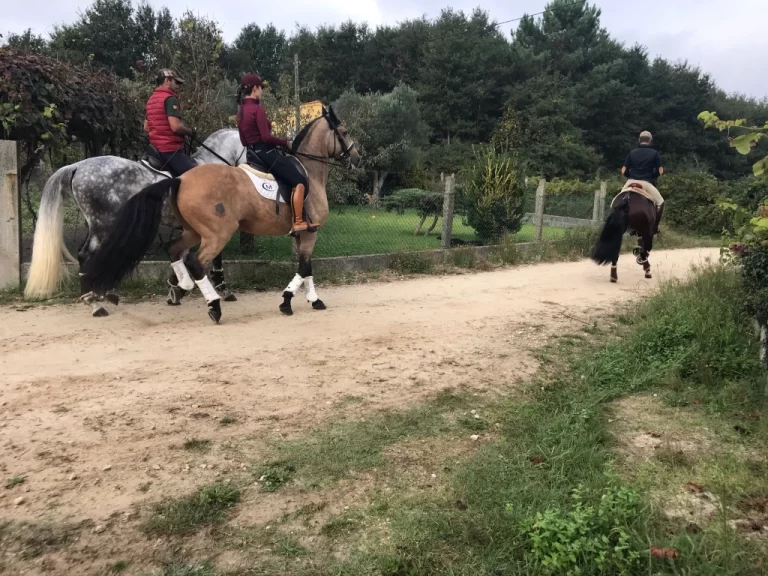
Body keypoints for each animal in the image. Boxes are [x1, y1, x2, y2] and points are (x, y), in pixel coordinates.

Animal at [23, 129, 246, 318]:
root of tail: (77, 166)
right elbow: (212, 256)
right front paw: (221, 289)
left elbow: (181, 254)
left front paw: (176, 290)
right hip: (103, 223)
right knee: (87, 254)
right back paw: (95, 303)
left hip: (99, 224)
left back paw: (103, 295)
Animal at [84, 107, 360, 324]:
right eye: (344, 132)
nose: (356, 158)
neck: (309, 172)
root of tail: (181, 179)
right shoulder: (311, 232)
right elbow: (304, 267)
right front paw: (290, 300)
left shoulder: (302, 234)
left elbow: (306, 268)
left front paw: (311, 299)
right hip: (217, 233)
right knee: (196, 262)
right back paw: (213, 305)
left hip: (194, 231)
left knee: (174, 249)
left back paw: (182, 286)